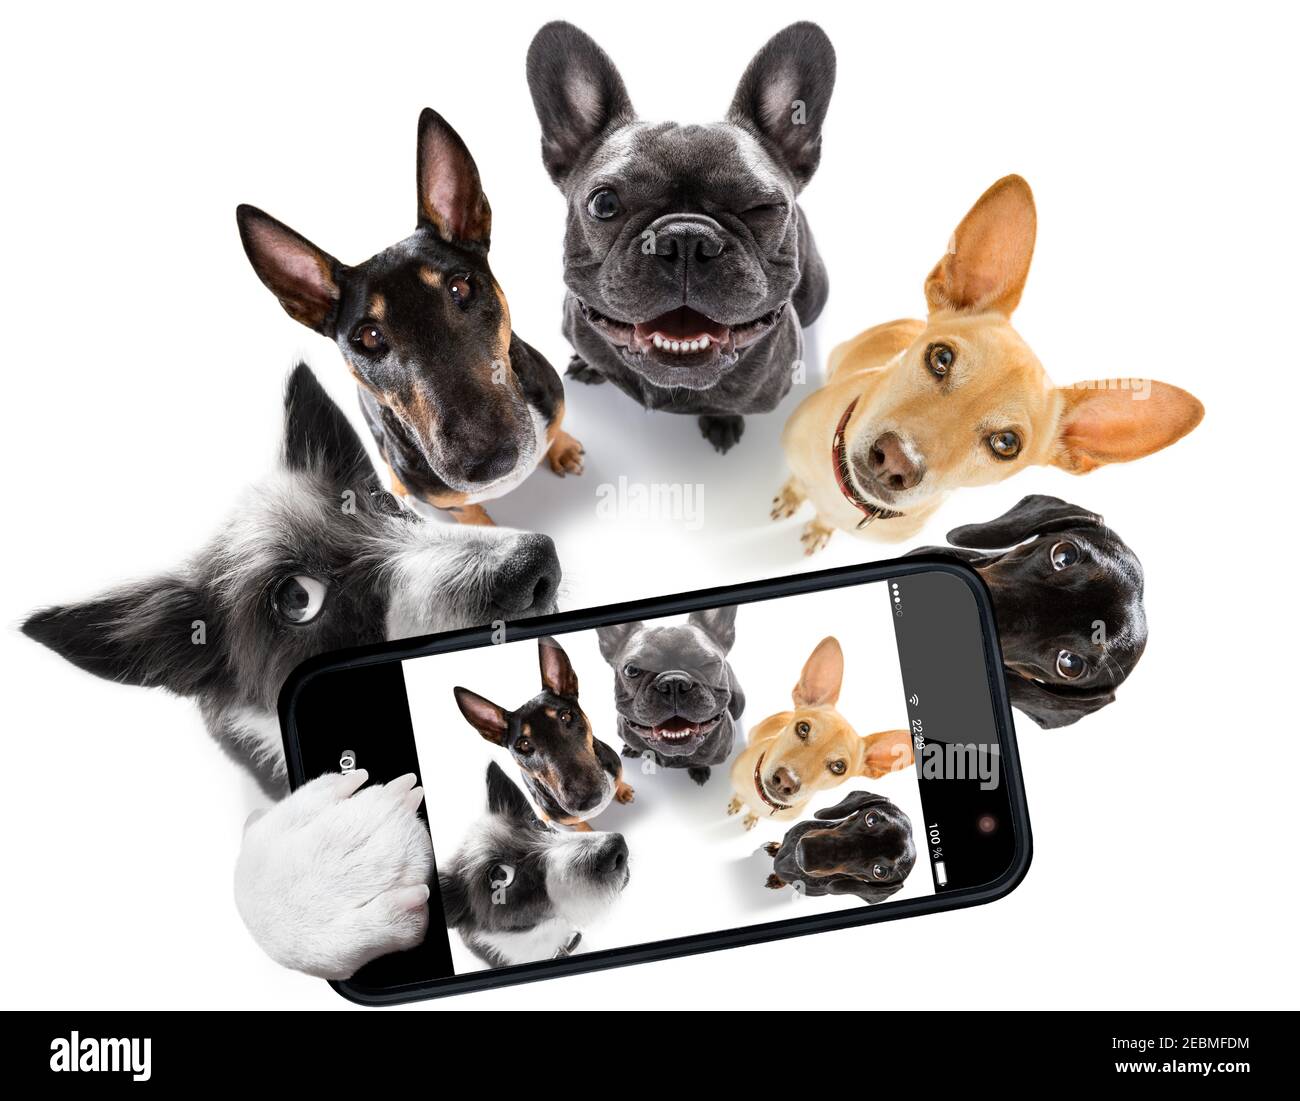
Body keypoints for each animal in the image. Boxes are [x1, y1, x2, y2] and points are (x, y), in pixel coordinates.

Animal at [728, 642, 909, 831]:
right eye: (803, 728)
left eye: (838, 766)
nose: (786, 780)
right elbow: (739, 796)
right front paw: (736, 803)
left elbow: (755, 812)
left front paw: (751, 817)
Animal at [769, 176, 1206, 551]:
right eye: (941, 357)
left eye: (1006, 444)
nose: (897, 459)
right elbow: (796, 482)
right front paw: (791, 494)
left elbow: (825, 519)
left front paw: (819, 526)